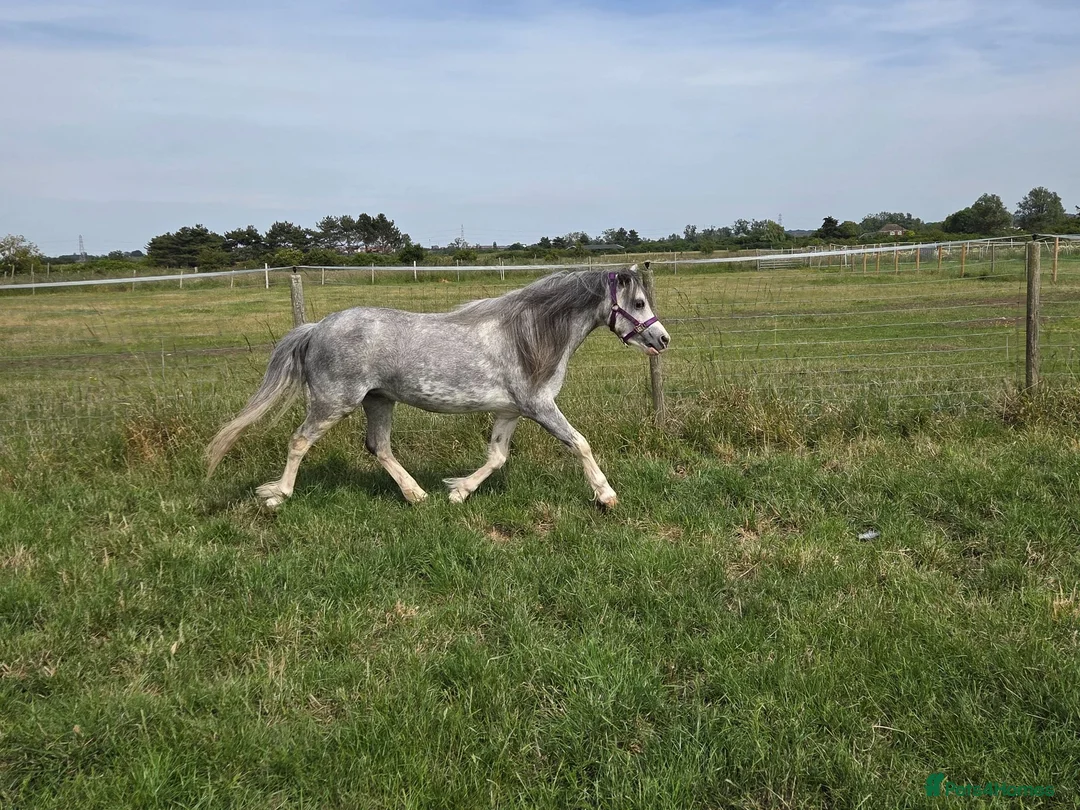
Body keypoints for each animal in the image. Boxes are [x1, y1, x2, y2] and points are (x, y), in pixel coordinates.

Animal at [206, 264, 670, 508]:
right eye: (639, 302)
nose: (663, 339)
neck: (528, 336)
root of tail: (317, 327)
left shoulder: (510, 410)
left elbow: (497, 457)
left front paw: (459, 492)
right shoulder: (539, 406)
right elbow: (581, 444)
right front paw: (606, 495)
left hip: (379, 400)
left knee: (378, 446)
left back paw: (417, 495)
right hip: (332, 402)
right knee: (300, 441)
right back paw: (278, 495)